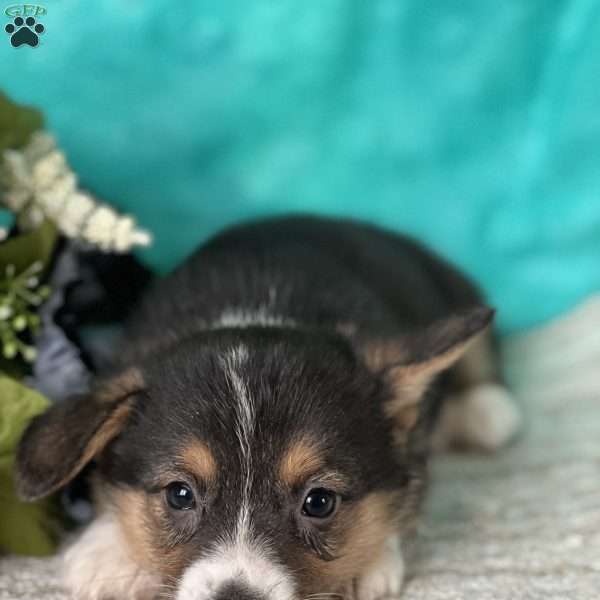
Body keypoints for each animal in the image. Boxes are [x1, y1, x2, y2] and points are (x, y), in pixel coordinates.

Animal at [15, 217, 520, 600]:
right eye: (179, 494)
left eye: (319, 502)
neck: (258, 310)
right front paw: (105, 551)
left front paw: (369, 563)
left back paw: (485, 410)